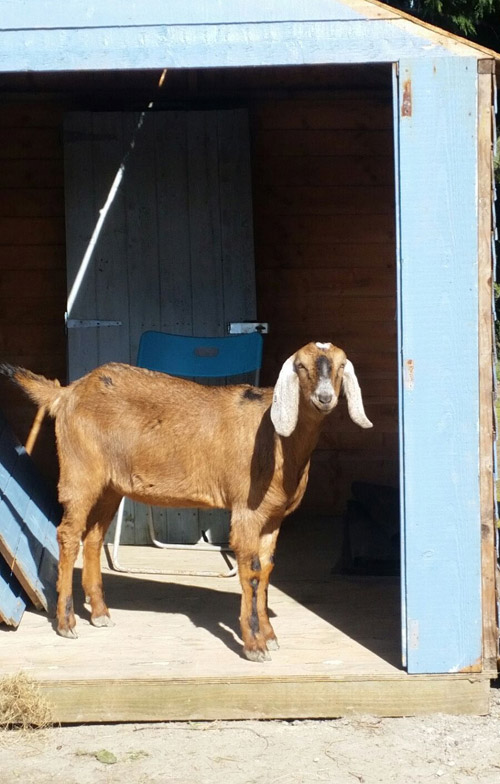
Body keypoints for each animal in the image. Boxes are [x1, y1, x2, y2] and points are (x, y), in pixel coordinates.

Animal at [0, 342, 372, 662]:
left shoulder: (273, 517)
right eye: (301, 367)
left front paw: (269, 635)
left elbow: (265, 571)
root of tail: (67, 393)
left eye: (341, 366)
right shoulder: (247, 511)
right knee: (67, 534)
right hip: (81, 470)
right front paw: (254, 645)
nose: (324, 398)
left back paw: (101, 613)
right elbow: (250, 572)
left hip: (110, 484)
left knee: (92, 537)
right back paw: (66, 622)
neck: (277, 439)